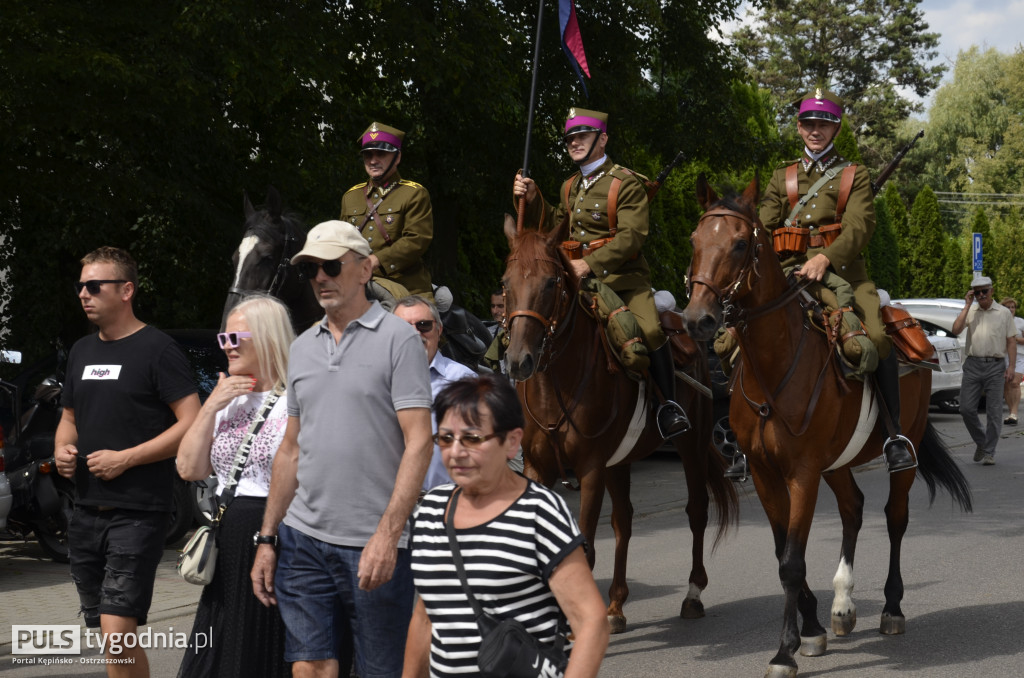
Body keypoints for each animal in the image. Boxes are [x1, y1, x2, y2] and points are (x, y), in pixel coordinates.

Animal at [501, 216, 737, 630]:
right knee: (624, 521)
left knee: (696, 510)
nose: (518, 361)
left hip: (689, 446)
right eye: (505, 282)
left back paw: (692, 595)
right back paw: (615, 605)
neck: (556, 385)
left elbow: (586, 550)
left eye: (551, 282)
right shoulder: (538, 467)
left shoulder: (590, 469)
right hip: (620, 460)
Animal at [684, 176, 970, 678]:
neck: (775, 366)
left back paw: (891, 609)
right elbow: (782, 552)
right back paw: (842, 606)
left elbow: (792, 562)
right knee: (853, 508)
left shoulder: (801, 474)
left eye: (739, 243)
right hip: (836, 463)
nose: (698, 319)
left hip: (905, 444)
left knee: (895, 518)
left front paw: (784, 651)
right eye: (696, 241)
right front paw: (813, 627)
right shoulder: (765, 474)